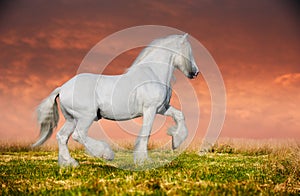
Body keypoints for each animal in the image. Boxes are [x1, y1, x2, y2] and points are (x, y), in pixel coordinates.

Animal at [32, 33, 199, 165]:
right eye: (188, 51)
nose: (195, 72)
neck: (153, 72)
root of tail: (62, 88)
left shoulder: (162, 108)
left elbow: (179, 115)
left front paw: (176, 141)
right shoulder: (150, 109)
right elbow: (146, 133)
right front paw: (143, 161)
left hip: (72, 119)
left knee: (62, 137)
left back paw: (70, 163)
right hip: (86, 117)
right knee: (78, 135)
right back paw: (106, 154)